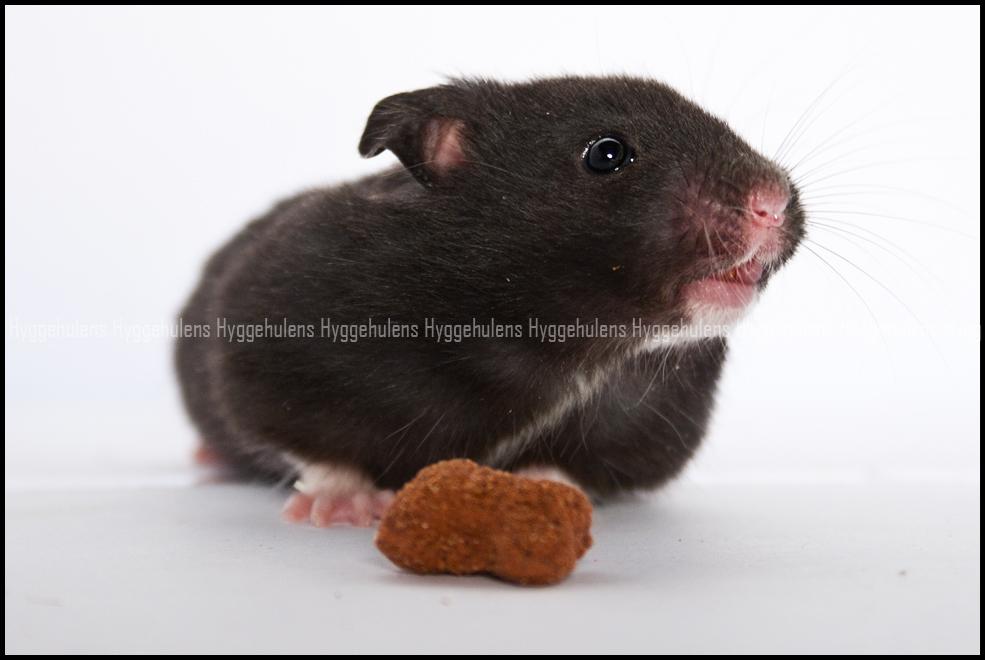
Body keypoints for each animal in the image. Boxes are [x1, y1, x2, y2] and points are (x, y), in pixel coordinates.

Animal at [175, 76, 805, 526]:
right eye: (607, 154)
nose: (772, 202)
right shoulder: (265, 343)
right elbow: (306, 444)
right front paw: (340, 510)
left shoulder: (649, 425)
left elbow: (573, 465)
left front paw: (537, 489)